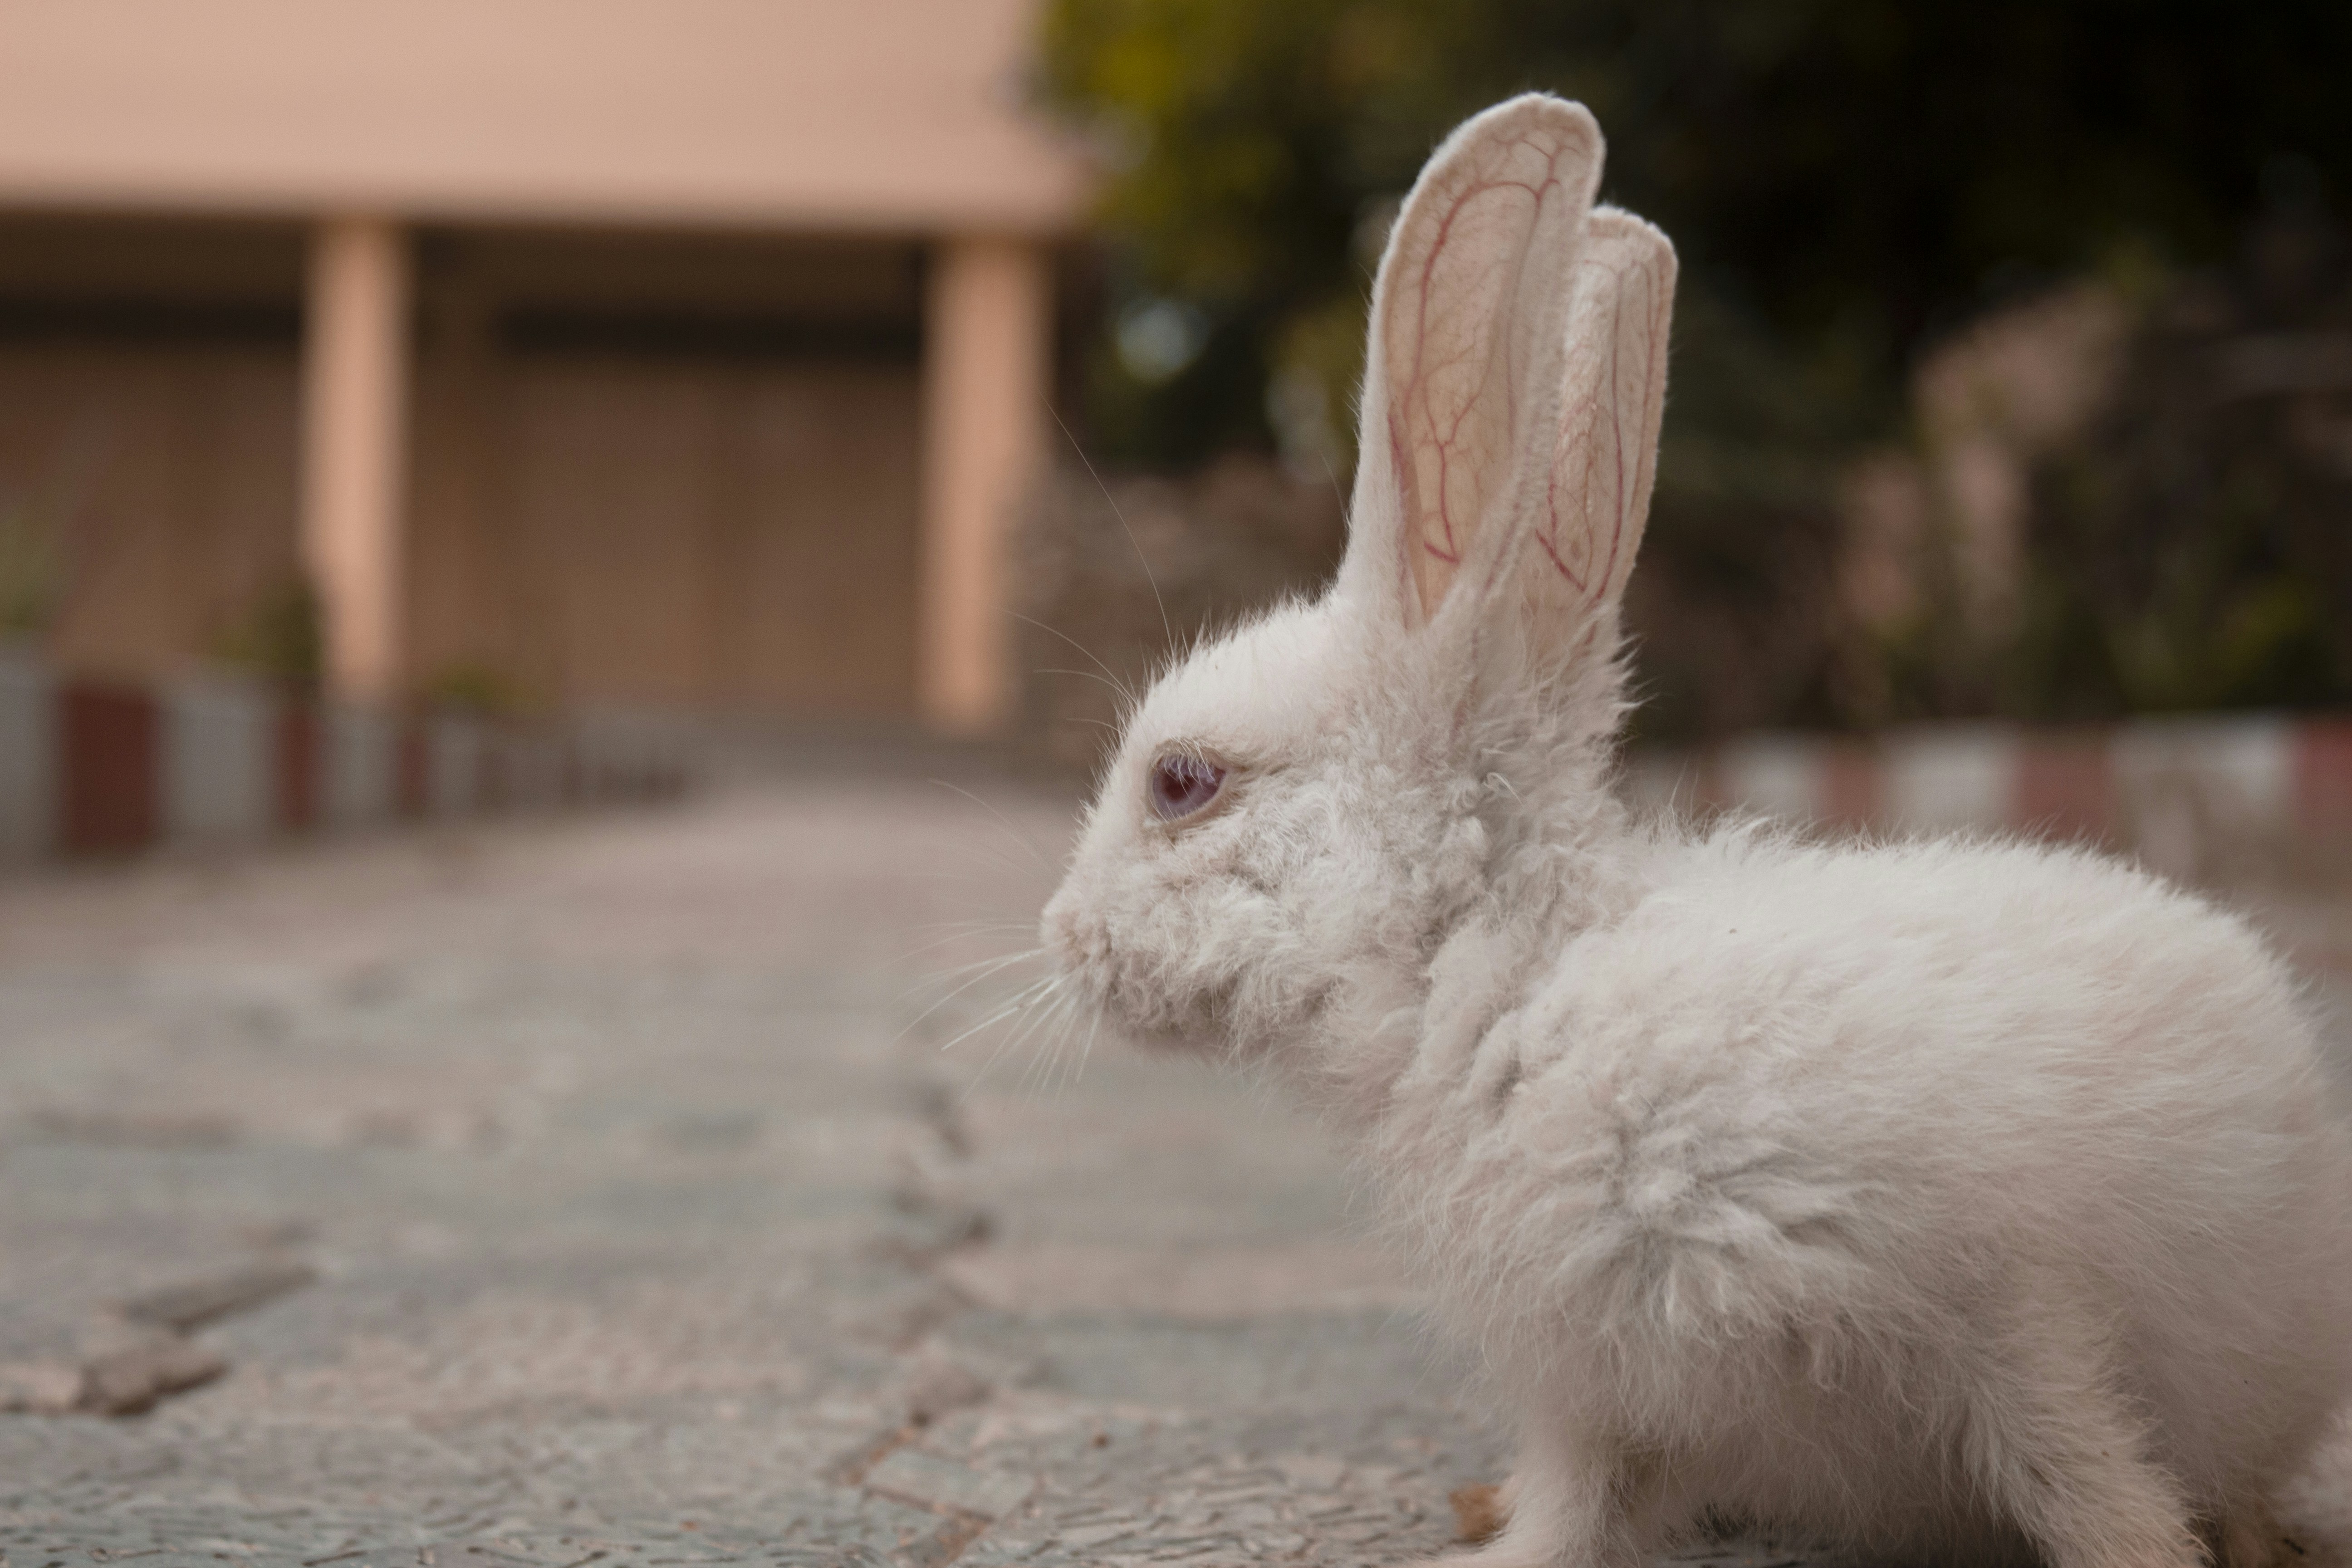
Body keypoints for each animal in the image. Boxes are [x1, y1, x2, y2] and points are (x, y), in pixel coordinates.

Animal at [1039, 92, 2352, 1568]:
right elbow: (1573, 1503)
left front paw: (2148, 1552)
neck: (1512, 985)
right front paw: (1500, 1543)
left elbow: (2081, 1471)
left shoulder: (2006, 1307)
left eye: (1182, 781)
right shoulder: (1591, 1387)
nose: (1058, 935)